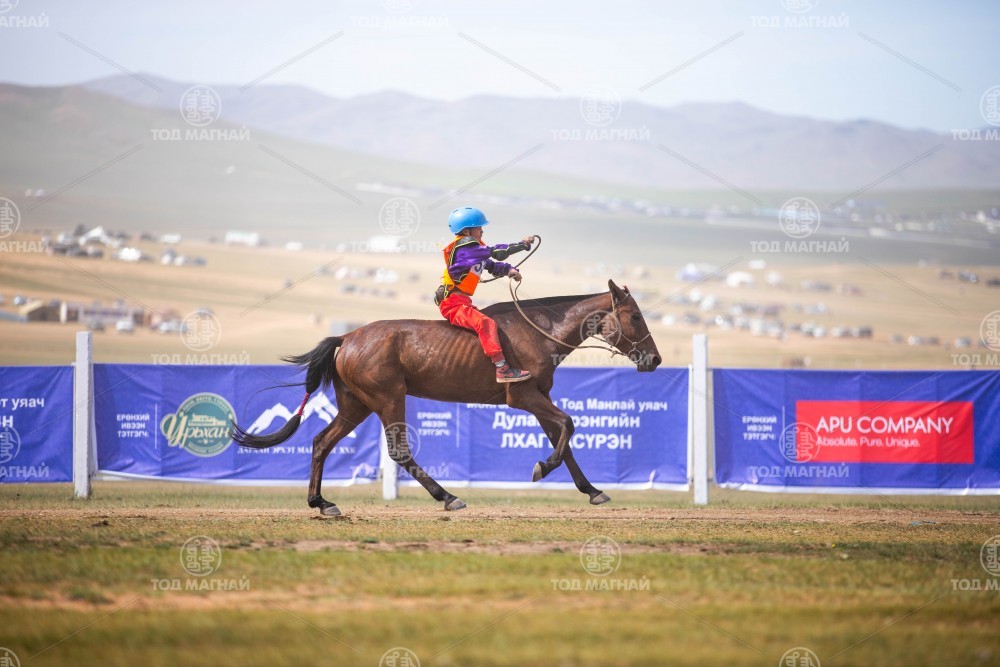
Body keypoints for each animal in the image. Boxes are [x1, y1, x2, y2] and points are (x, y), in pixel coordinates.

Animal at [231, 279, 662, 516]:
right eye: (636, 316)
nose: (655, 359)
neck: (542, 329)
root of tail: (347, 338)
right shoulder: (522, 396)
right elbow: (568, 426)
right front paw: (542, 467)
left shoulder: (539, 397)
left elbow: (564, 438)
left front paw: (591, 490)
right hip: (387, 397)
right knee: (399, 451)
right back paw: (447, 496)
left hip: (356, 404)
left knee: (322, 442)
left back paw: (321, 502)